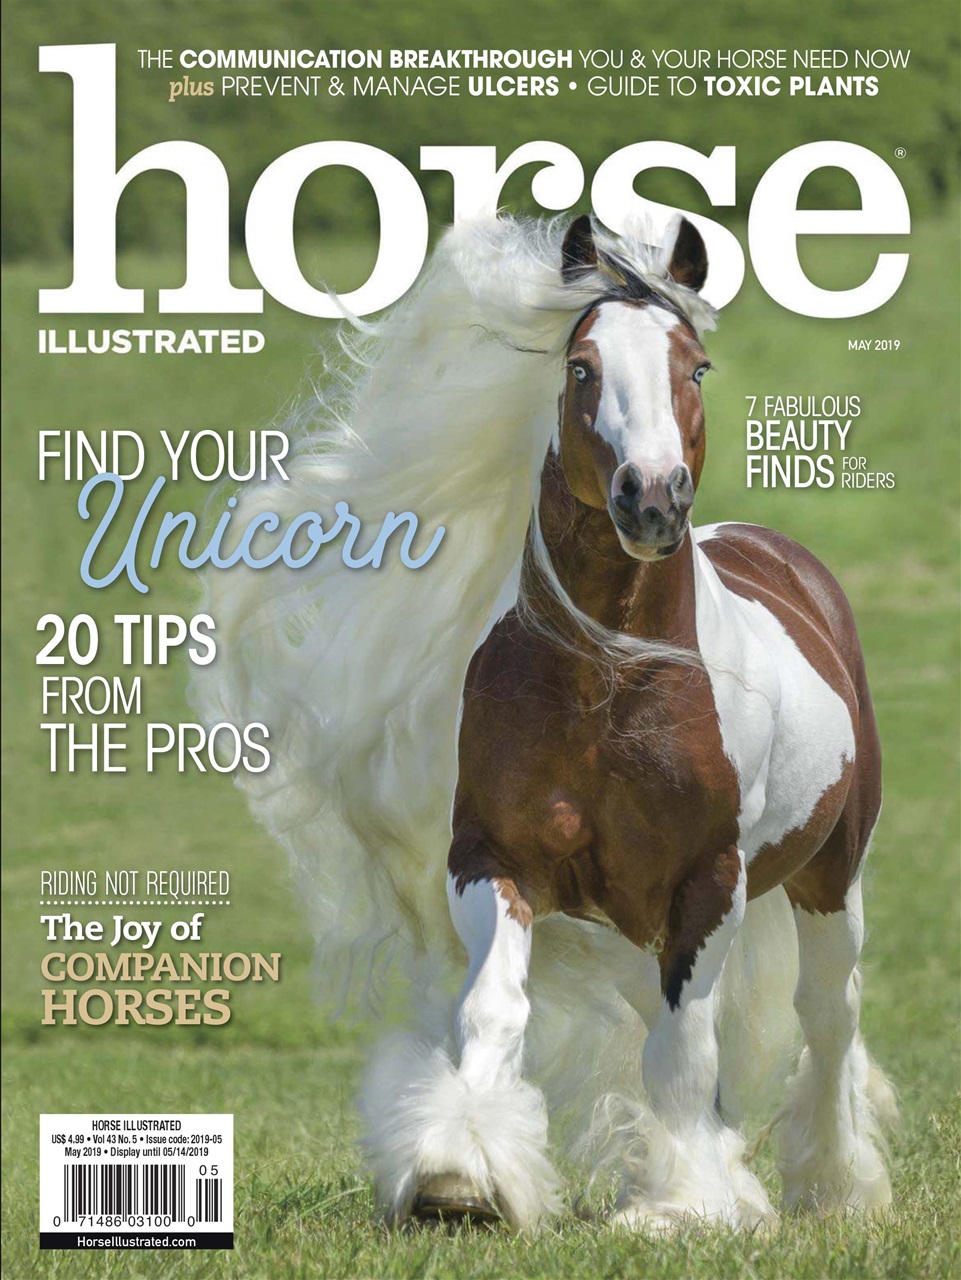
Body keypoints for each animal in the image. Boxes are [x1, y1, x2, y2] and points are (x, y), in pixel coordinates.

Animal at [198, 211, 897, 1233]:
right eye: (581, 368)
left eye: (694, 367)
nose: (652, 496)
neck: (606, 682)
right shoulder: (494, 861)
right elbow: (498, 1012)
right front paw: (457, 1176)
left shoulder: (708, 882)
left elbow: (686, 1050)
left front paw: (678, 1211)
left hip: (826, 878)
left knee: (827, 1012)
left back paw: (836, 1188)